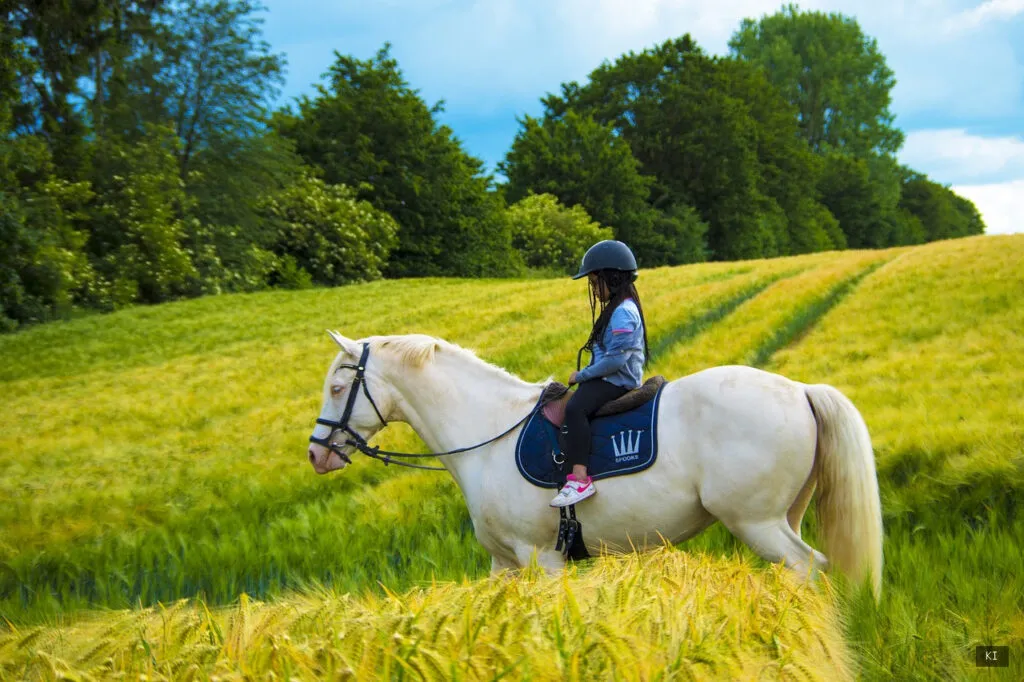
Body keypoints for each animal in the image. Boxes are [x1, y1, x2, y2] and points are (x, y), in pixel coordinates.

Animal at [306, 332, 883, 599]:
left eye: (336, 386)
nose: (316, 453)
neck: (488, 432)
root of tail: (802, 390)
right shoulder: (504, 564)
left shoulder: (540, 559)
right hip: (784, 516)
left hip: (756, 523)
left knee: (807, 567)